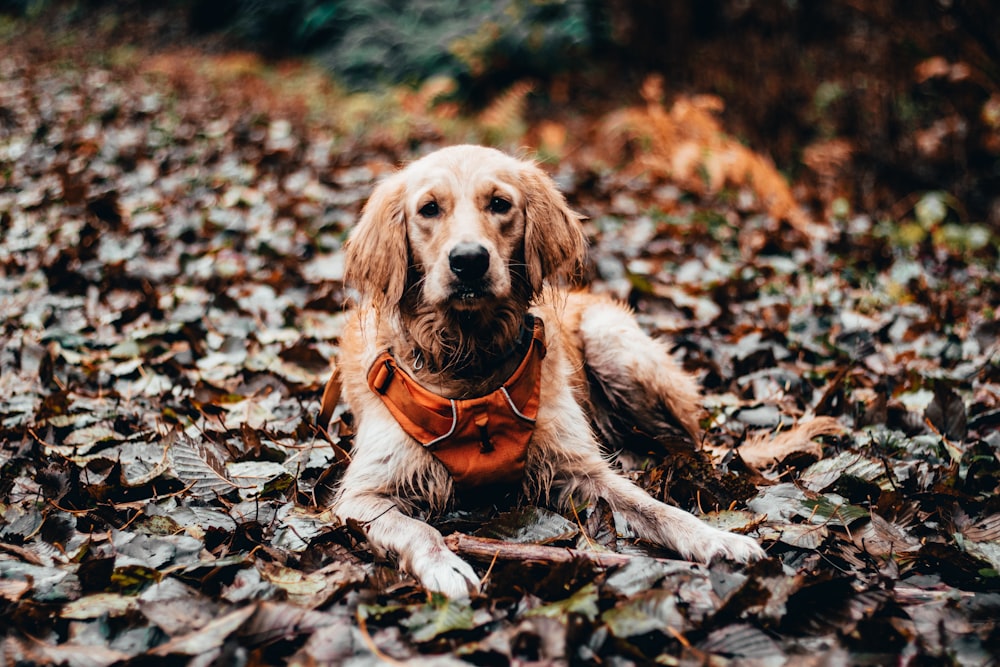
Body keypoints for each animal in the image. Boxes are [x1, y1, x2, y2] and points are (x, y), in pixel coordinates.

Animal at [328, 144, 764, 596]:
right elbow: (418, 529)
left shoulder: (578, 467)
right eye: (429, 209)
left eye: (499, 204)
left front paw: (715, 538)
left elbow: (653, 506)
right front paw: (444, 564)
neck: (470, 360)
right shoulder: (362, 495)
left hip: (611, 344)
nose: (469, 261)